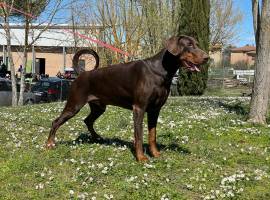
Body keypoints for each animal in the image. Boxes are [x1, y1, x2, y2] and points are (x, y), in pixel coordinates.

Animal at [46, 35, 209, 161]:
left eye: (197, 44)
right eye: (189, 45)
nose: (207, 58)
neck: (160, 71)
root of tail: (82, 73)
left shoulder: (155, 110)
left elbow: (152, 134)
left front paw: (155, 154)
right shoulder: (139, 108)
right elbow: (139, 136)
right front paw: (141, 158)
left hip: (99, 107)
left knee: (88, 120)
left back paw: (97, 137)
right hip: (74, 104)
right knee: (56, 122)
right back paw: (49, 144)